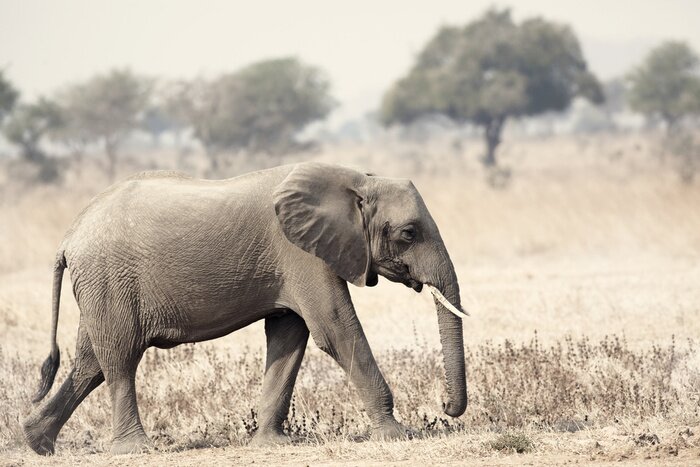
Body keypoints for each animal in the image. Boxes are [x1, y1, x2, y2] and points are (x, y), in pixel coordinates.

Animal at [23, 161, 469, 455]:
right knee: (119, 358)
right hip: (109, 281)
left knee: (90, 361)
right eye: (408, 234)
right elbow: (335, 330)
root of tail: (69, 236)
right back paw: (135, 450)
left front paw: (272, 443)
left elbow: (290, 336)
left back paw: (37, 442)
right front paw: (399, 435)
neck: (356, 180)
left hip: (100, 287)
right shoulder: (301, 255)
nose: (445, 408)